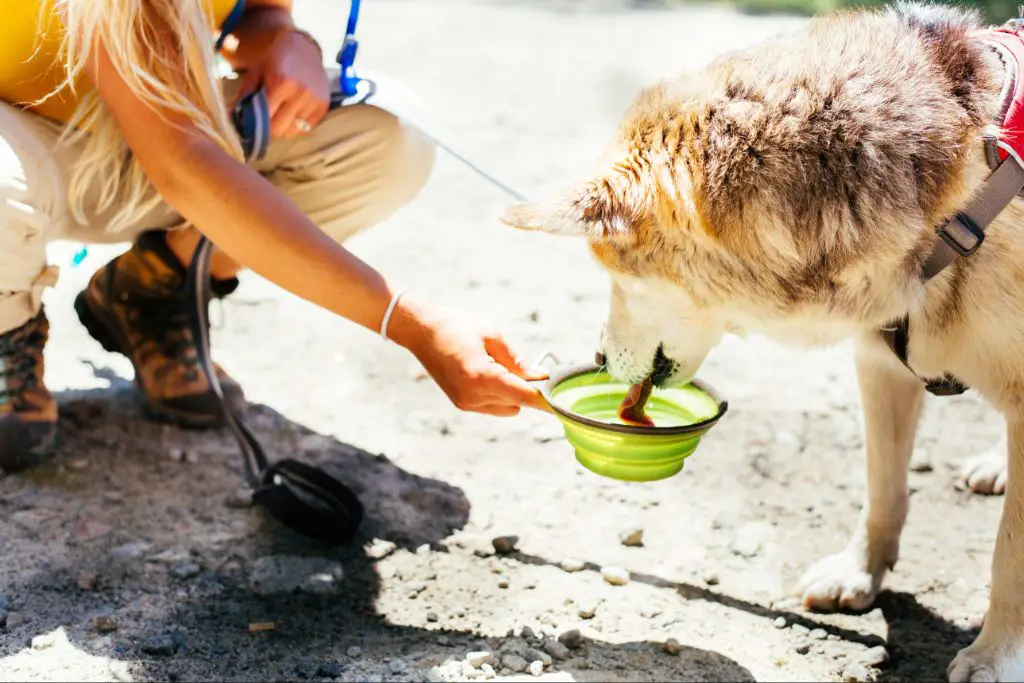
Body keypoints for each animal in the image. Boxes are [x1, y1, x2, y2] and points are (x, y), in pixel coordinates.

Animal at [505, 3, 1024, 679]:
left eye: (617, 276)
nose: (596, 358)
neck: (954, 205)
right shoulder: (881, 361)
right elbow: (882, 490)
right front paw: (859, 573)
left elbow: (1009, 554)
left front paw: (997, 653)